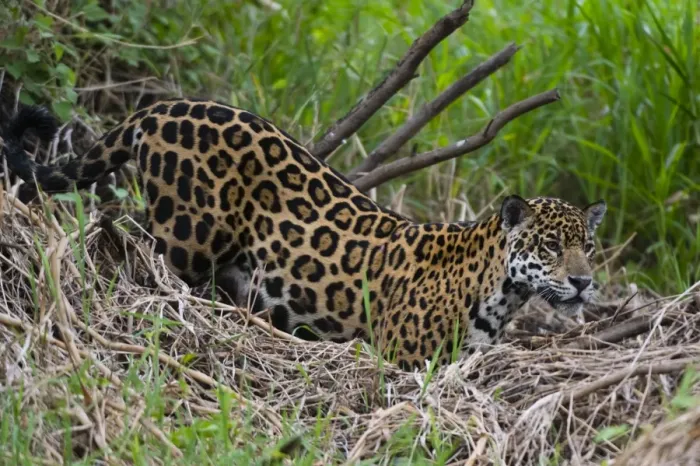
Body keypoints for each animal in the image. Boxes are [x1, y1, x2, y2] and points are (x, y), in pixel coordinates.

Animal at [1, 98, 607, 370]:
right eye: (551, 247)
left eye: (588, 246)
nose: (583, 283)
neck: (500, 291)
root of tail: (167, 105)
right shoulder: (402, 359)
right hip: (186, 235)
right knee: (138, 249)